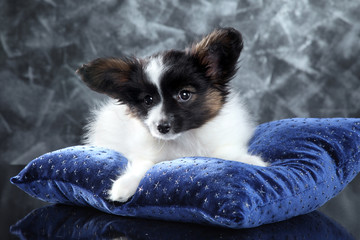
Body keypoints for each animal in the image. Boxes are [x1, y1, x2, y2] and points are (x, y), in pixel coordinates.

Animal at [76, 26, 268, 202]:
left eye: (184, 95)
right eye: (148, 100)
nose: (162, 127)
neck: (183, 139)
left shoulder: (223, 144)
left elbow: (226, 154)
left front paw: (252, 161)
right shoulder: (145, 153)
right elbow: (143, 165)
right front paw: (125, 185)